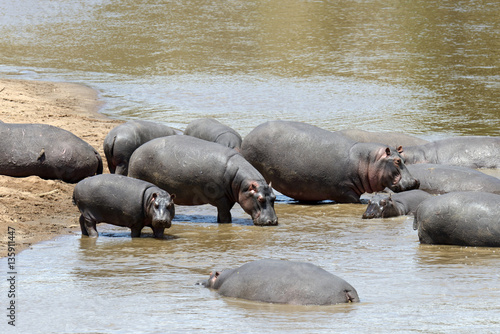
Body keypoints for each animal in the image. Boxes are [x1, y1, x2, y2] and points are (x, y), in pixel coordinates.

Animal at [127, 134, 278, 226]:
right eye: (260, 199)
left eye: (274, 198)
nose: (272, 221)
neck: (242, 183)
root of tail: (136, 152)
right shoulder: (221, 199)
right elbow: (225, 217)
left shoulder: (228, 199)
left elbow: (222, 215)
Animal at [240, 121, 420, 202]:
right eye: (396, 161)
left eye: (404, 159)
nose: (415, 181)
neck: (369, 161)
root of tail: (247, 136)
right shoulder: (345, 190)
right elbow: (355, 199)